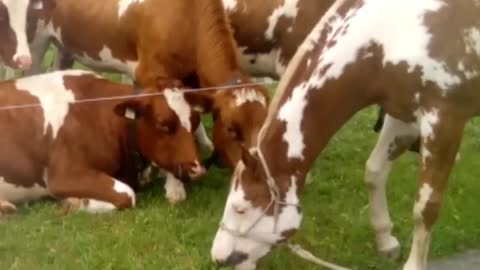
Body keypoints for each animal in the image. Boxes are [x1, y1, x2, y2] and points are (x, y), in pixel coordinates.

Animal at [0, 70, 204, 215]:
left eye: (195, 121)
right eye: (162, 124)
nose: (197, 169)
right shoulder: (63, 175)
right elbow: (127, 194)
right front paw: (78, 202)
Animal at [210, 0, 480, 270]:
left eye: (241, 209)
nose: (218, 256)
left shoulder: (444, 119)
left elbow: (426, 206)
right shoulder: (402, 114)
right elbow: (375, 172)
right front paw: (386, 240)